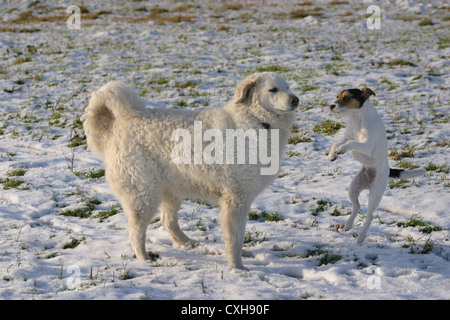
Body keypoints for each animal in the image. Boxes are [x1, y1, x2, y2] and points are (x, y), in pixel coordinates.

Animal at [81, 72, 298, 268]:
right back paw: (144, 259)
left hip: (170, 190)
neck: (257, 122)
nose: (296, 99)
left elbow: (237, 234)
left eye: (287, 87)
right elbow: (235, 237)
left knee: (168, 221)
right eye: (273, 90)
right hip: (143, 195)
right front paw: (237, 267)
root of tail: (118, 124)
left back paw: (185, 242)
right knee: (136, 233)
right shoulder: (237, 198)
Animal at [326, 87, 426, 242]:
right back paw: (348, 224)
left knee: (369, 216)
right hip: (353, 188)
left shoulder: (366, 146)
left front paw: (341, 150)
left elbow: (351, 143)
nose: (331, 106)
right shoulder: (347, 136)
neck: (358, 119)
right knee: (357, 207)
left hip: (375, 195)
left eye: (347, 98)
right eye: (337, 96)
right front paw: (332, 154)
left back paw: (361, 237)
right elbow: (336, 143)